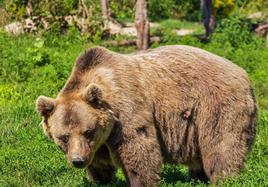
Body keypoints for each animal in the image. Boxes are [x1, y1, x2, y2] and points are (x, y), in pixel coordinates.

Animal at [35, 45, 258, 186]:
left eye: (88, 131)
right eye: (63, 137)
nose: (78, 160)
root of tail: (244, 74)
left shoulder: (126, 110)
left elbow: (138, 147)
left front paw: (140, 180)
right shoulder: (99, 140)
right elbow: (99, 162)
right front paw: (100, 179)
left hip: (215, 106)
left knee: (222, 147)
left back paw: (224, 178)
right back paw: (196, 176)